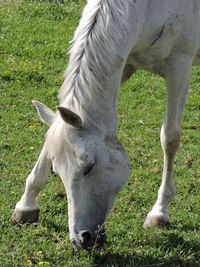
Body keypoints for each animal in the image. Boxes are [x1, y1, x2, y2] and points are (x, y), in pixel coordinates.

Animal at [11, 0, 199, 251]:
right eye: (56, 171)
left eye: (88, 167)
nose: (81, 238)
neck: (148, 9)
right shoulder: (122, 65)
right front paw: (26, 205)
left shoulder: (179, 67)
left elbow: (169, 138)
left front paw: (159, 212)